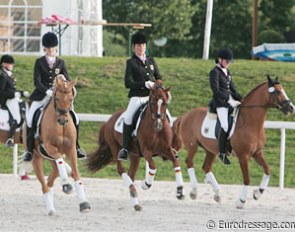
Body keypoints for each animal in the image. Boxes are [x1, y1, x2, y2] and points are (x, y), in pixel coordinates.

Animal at [30, 76, 91, 216]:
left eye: (71, 98)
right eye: (57, 98)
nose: (63, 120)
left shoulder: (71, 149)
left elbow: (76, 173)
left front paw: (84, 203)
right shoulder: (49, 146)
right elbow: (60, 160)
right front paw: (66, 184)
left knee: (50, 180)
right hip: (37, 157)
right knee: (44, 184)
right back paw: (50, 208)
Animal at [85, 82, 186, 211]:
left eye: (164, 102)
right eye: (152, 102)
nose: (158, 124)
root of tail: (108, 121)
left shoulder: (167, 150)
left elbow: (176, 163)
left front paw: (180, 191)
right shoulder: (147, 152)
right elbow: (153, 167)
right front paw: (146, 184)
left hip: (135, 155)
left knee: (131, 175)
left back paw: (135, 201)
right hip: (115, 148)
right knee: (121, 170)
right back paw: (134, 193)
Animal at [172, 76, 294, 208]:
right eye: (277, 91)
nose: (291, 108)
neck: (250, 122)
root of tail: (185, 116)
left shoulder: (257, 152)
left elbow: (267, 170)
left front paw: (258, 193)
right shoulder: (243, 156)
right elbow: (247, 179)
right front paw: (241, 201)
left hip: (211, 150)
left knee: (206, 167)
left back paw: (218, 194)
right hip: (192, 146)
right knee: (189, 162)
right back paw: (194, 192)